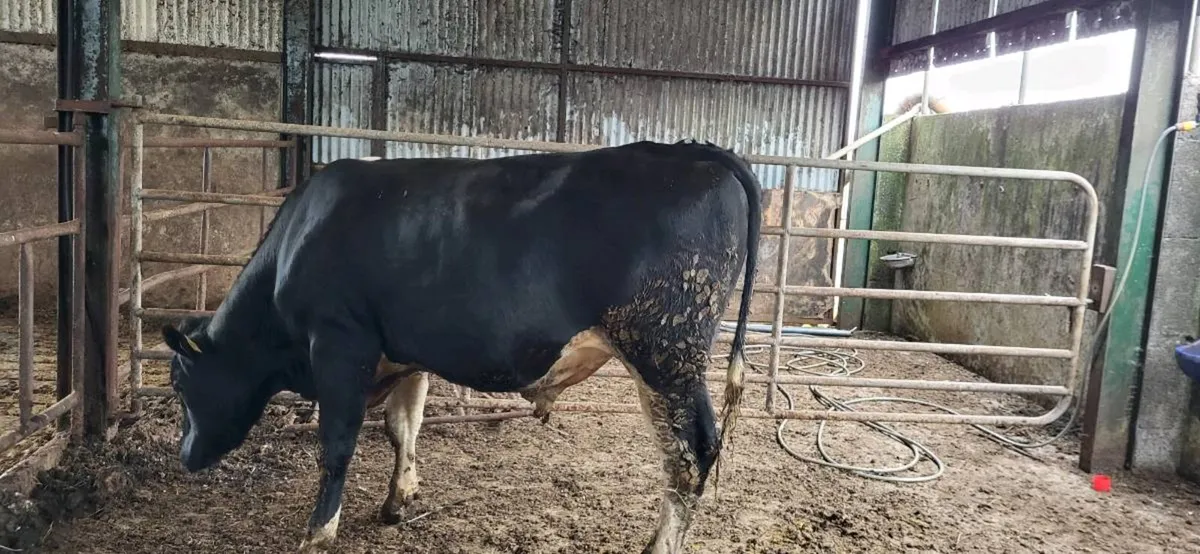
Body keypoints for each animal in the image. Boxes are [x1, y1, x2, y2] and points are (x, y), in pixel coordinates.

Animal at [160, 139, 762, 554]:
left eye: (180, 383)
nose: (185, 458)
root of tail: (691, 150)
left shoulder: (339, 343)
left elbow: (336, 445)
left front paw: (317, 531)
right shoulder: (404, 352)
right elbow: (403, 426)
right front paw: (398, 499)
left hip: (666, 353)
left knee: (689, 456)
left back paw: (658, 545)